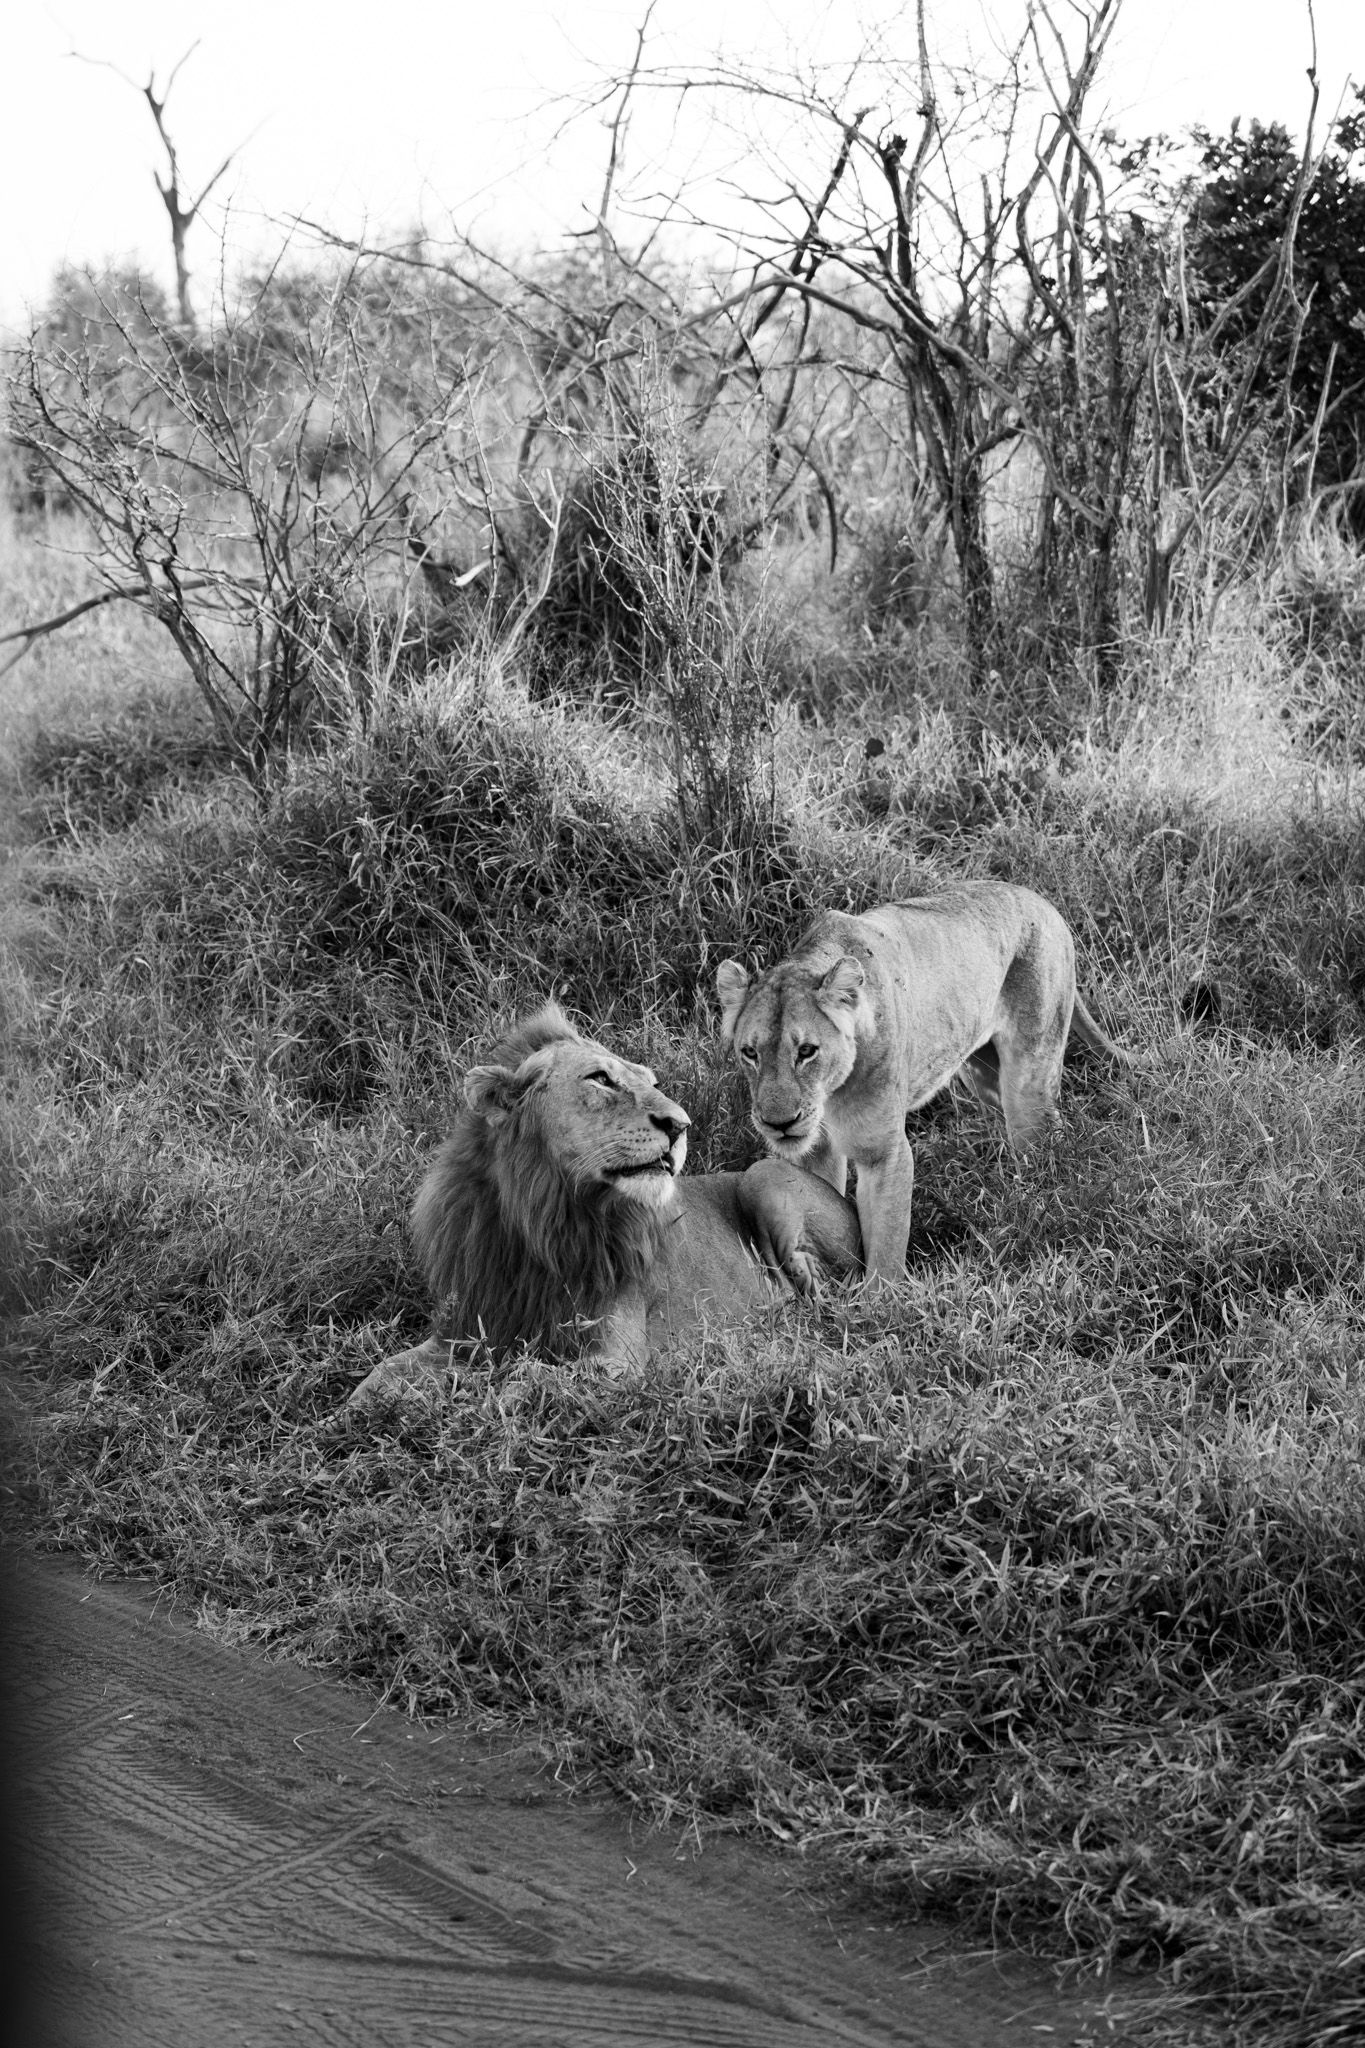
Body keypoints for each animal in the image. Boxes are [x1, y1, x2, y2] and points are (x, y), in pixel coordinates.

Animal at [347, 1005, 861, 1405]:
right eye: (601, 1080)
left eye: (651, 1082)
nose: (681, 1125)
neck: (541, 1221)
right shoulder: (468, 1328)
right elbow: (379, 1373)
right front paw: (345, 1421)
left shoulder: (617, 1359)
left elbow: (523, 1379)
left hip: (764, 1176)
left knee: (829, 1298)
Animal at [717, 880, 1135, 1286]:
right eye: (750, 1053)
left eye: (806, 1051)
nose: (779, 1124)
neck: (828, 1095)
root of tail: (1042, 901)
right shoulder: (814, 1152)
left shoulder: (883, 1152)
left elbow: (886, 1249)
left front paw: (879, 1305)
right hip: (981, 1072)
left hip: (1028, 1080)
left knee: (1045, 1136)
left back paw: (1037, 1205)